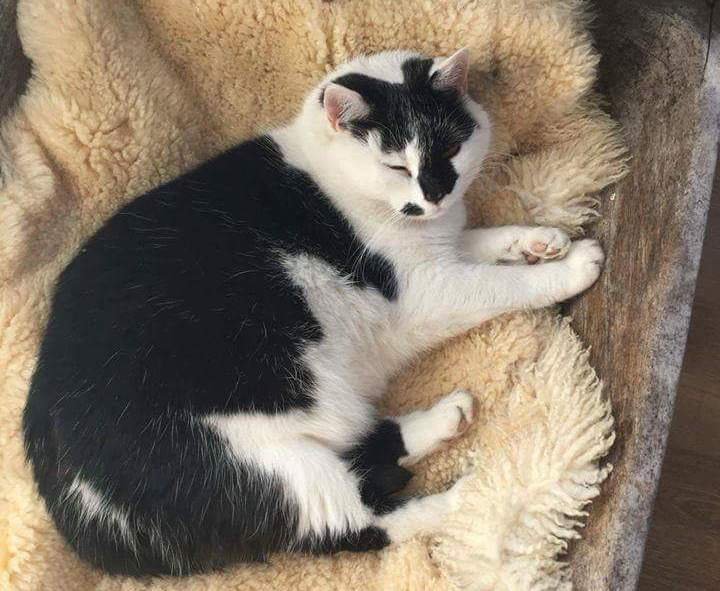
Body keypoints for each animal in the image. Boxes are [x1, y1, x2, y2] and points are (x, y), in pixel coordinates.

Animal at [23, 48, 604, 576]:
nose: (436, 193)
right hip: (262, 467)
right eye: (396, 164)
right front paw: (569, 268)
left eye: (451, 148)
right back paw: (477, 492)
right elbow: (499, 285)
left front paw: (540, 241)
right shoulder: (427, 290)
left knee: (367, 454)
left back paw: (444, 419)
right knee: (357, 523)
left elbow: (481, 240)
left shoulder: (441, 251)